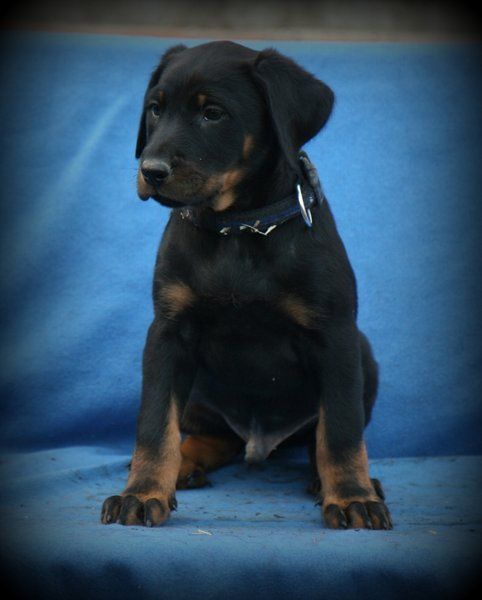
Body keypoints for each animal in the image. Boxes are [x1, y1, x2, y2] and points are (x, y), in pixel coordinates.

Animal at [101, 41, 392, 530]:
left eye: (213, 114)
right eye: (155, 109)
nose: (151, 170)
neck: (239, 226)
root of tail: (260, 441)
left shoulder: (334, 334)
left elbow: (342, 431)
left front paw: (353, 497)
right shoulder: (168, 334)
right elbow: (155, 423)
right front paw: (140, 493)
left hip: (362, 355)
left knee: (319, 436)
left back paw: (336, 481)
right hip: (200, 392)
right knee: (213, 437)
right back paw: (186, 464)